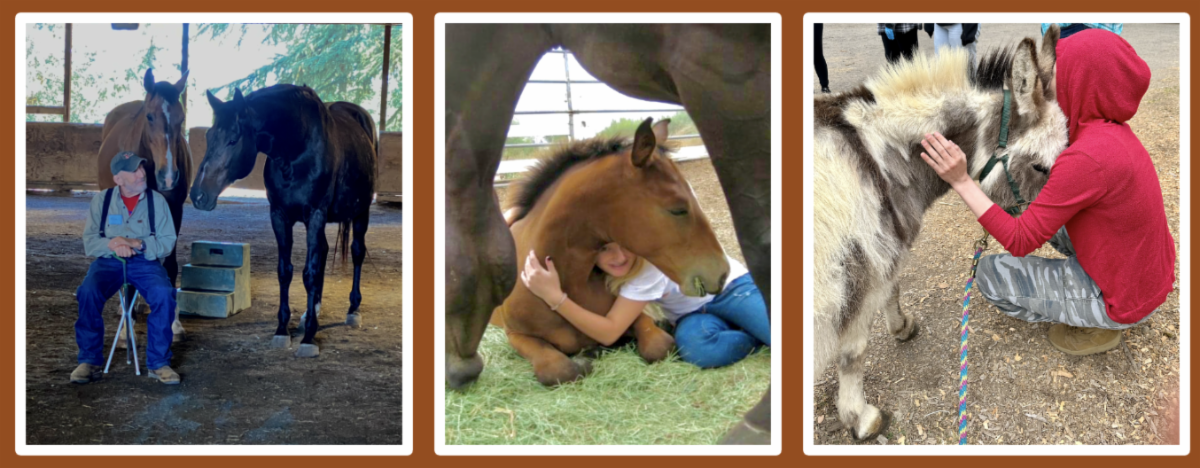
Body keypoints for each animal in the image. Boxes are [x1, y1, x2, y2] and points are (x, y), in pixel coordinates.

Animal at [97, 68, 190, 340]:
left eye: (181, 118)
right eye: (149, 116)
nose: (168, 177)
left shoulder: (174, 211)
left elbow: (169, 263)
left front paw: (174, 322)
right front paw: (126, 327)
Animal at [191, 84, 377, 358]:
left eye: (233, 139)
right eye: (208, 137)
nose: (198, 195)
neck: (297, 149)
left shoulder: (316, 214)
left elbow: (309, 273)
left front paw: (309, 337)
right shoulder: (279, 216)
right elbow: (286, 272)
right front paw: (283, 329)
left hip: (361, 212)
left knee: (356, 253)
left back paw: (353, 310)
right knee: (323, 252)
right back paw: (311, 312)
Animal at [494, 118, 728, 386]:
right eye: (678, 209)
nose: (722, 273)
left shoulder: (631, 319)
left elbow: (660, 345)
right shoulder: (517, 335)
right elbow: (559, 370)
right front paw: (585, 358)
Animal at [812, 25, 1067, 441]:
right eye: (1041, 167)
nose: (1059, 231)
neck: (881, 157)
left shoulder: (881, 257)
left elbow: (894, 289)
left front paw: (901, 327)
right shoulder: (863, 274)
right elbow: (854, 352)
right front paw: (861, 418)